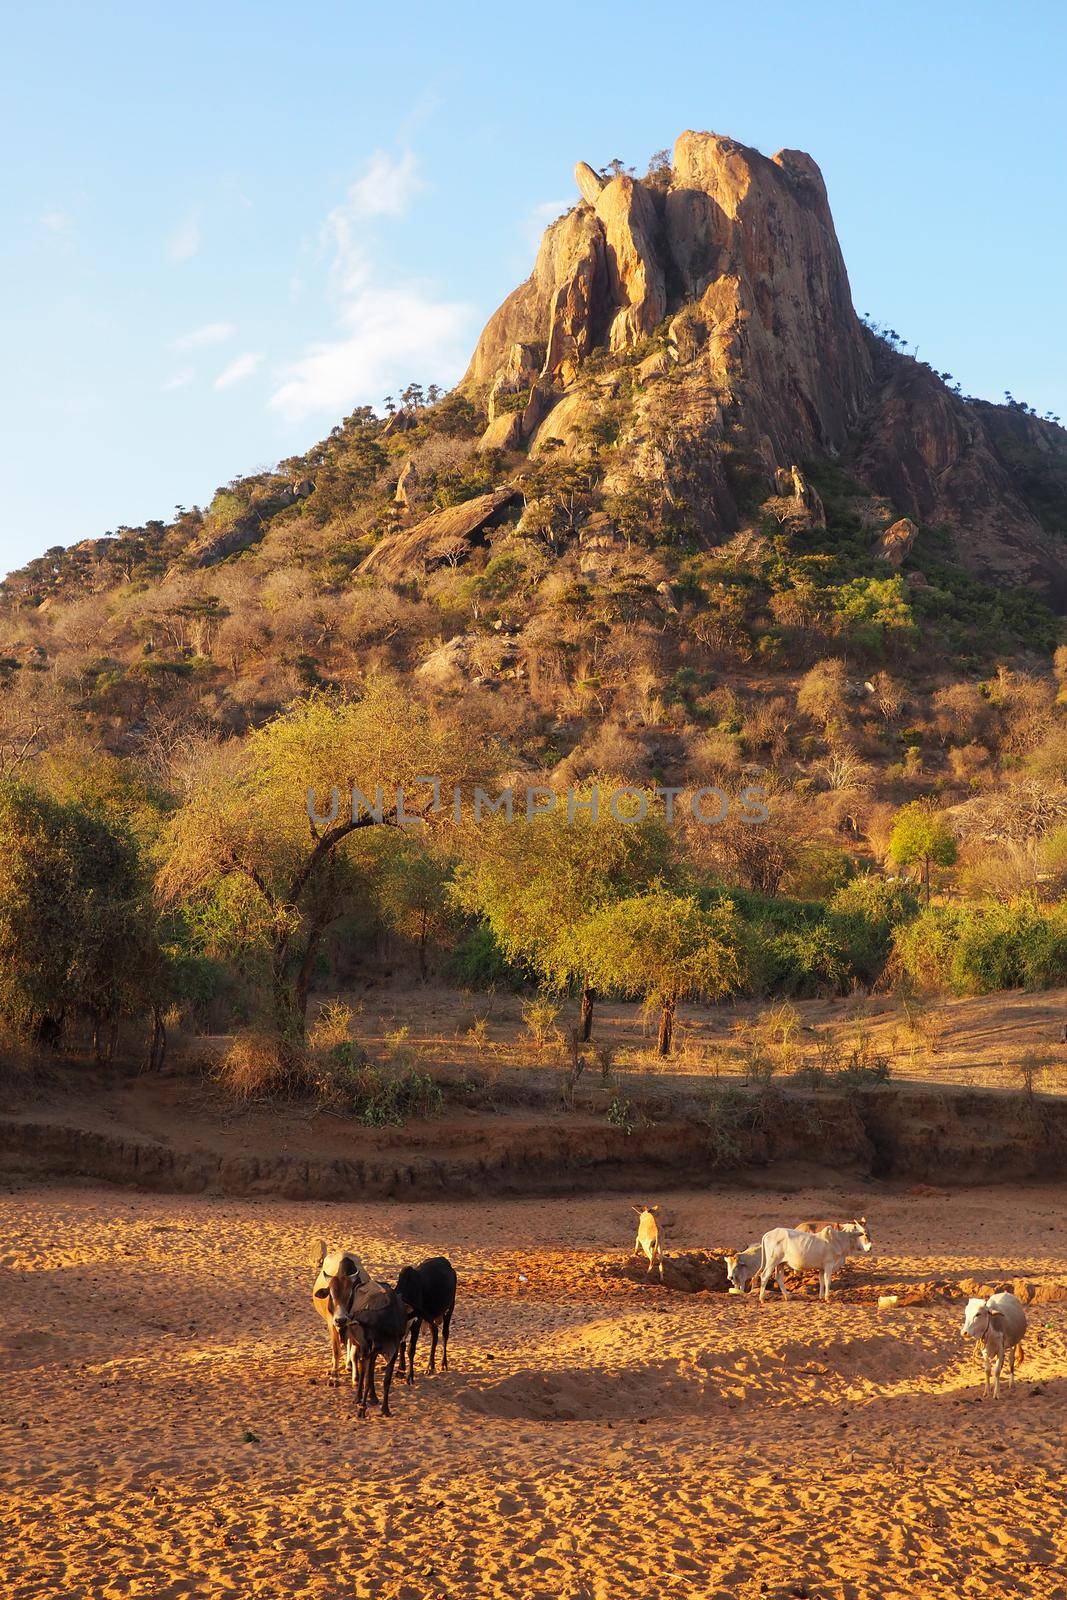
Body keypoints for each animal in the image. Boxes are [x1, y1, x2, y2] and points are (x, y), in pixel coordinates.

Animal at [310, 1241, 374, 1382]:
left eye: (350, 1295)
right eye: (331, 1295)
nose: (340, 1320)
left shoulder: (353, 1323)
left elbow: (353, 1348)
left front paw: (353, 1371)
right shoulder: (331, 1323)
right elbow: (336, 1350)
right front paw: (334, 1373)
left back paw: (349, 1365)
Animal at [395, 1254, 457, 1382]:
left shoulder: (416, 1323)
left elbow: (411, 1349)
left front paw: (410, 1376)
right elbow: (402, 1346)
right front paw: (400, 1371)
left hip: (449, 1308)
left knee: (445, 1334)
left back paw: (443, 1364)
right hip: (431, 1317)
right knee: (435, 1333)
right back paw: (430, 1366)